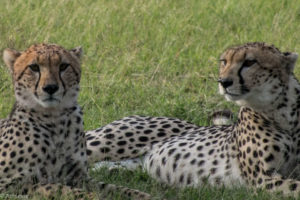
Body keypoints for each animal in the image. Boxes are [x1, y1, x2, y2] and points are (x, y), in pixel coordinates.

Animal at [0, 43, 150, 198]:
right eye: (34, 67)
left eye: (63, 66)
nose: (51, 88)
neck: (54, 118)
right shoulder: (9, 184)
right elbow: (59, 188)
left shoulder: (79, 177)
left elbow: (112, 188)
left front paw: (140, 195)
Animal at [86, 43, 300, 196]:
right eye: (224, 61)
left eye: (249, 62)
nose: (224, 82)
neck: (282, 112)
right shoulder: (261, 178)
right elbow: (295, 187)